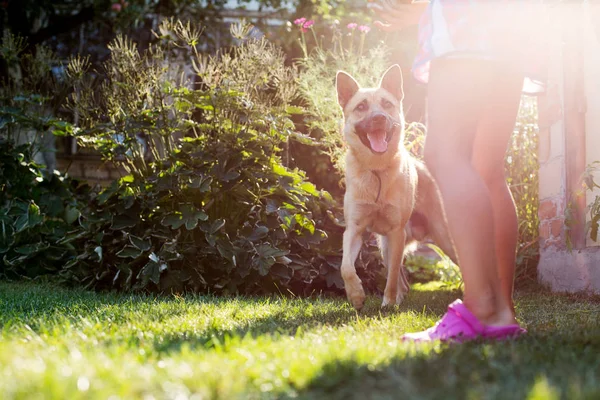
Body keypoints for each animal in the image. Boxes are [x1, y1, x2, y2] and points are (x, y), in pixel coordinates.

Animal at [336, 65, 458, 310]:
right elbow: (346, 267)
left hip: (443, 237)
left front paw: (388, 302)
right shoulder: (354, 230)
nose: (379, 118)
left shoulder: (396, 232)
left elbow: (391, 275)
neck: (377, 170)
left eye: (386, 104)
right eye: (361, 107)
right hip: (384, 245)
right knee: (403, 280)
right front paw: (356, 295)